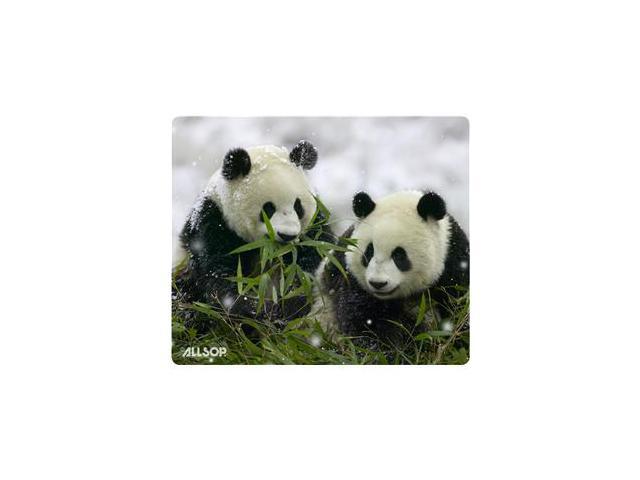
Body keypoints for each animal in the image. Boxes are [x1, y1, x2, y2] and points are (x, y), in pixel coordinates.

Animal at [176, 140, 332, 327]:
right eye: (268, 208)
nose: (287, 235)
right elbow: (218, 274)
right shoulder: (212, 222)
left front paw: (288, 305)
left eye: (298, 206)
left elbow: (311, 265)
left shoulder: (314, 228)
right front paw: (256, 311)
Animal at [314, 190, 469, 341]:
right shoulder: (350, 277)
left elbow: (459, 309)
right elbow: (365, 321)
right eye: (369, 252)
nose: (378, 283)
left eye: (399, 255)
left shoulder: (454, 263)